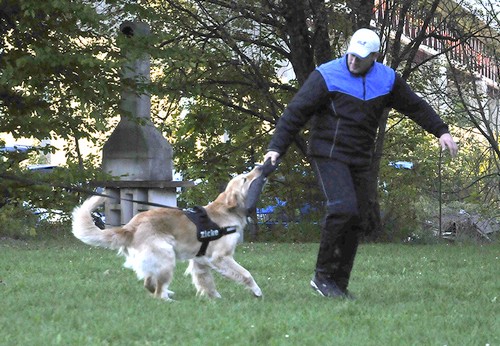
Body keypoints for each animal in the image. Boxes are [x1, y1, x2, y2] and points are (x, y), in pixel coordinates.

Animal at [73, 166, 266, 300]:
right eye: (245, 179)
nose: (260, 167)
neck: (227, 211)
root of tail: (130, 226)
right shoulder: (220, 257)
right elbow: (246, 274)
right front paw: (257, 291)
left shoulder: (200, 261)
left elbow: (206, 282)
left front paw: (215, 299)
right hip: (166, 256)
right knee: (157, 292)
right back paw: (169, 299)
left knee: (149, 284)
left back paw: (169, 293)